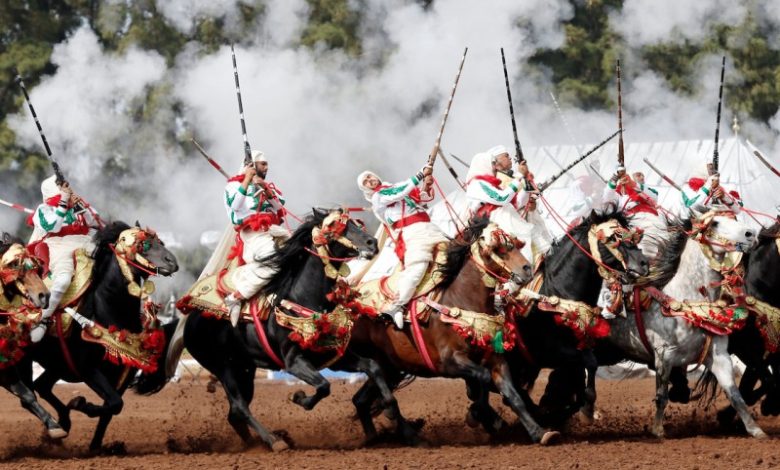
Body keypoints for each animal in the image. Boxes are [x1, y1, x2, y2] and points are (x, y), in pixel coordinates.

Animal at [0, 233, 66, 438]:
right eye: (14, 264)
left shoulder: (6, 363)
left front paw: (54, 426)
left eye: (37, 266)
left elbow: (27, 395)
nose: (44, 296)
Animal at [17, 223, 179, 452]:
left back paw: (63, 421)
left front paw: (95, 445)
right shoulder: (88, 370)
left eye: (161, 242)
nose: (172, 262)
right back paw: (57, 426)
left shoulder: (123, 374)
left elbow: (113, 408)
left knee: (42, 386)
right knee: (29, 394)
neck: (107, 310)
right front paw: (80, 404)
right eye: (144, 245)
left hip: (57, 366)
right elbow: (114, 403)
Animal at [177, 209, 384, 452]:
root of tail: (190, 319)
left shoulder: (333, 356)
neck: (302, 299)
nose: (372, 243)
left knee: (234, 414)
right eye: (336, 227)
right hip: (223, 368)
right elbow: (324, 386)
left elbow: (372, 366)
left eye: (355, 222)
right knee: (239, 406)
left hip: (244, 370)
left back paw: (257, 442)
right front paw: (299, 398)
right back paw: (274, 441)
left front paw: (385, 414)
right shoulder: (294, 362)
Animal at [588, 211, 764, 438]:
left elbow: (735, 395)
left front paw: (755, 430)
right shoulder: (664, 355)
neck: (686, 301)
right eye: (715, 223)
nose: (751, 234)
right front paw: (657, 430)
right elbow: (661, 396)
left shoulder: (719, 357)